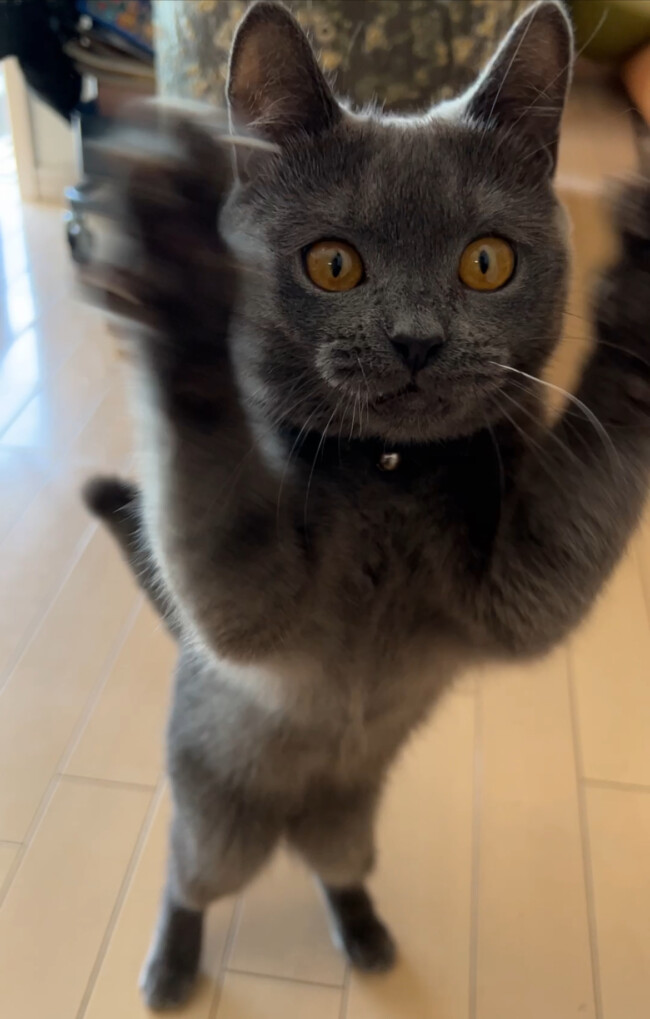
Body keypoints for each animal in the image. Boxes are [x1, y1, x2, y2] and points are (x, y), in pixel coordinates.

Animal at [83, 0, 650, 1010]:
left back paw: (369, 934)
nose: (418, 340)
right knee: (187, 881)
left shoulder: (521, 590)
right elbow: (212, 497)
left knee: (338, 870)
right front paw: (179, 270)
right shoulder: (249, 604)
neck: (391, 477)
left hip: (353, 820)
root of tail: (295, 819)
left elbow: (586, 491)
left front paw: (644, 298)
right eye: (334, 264)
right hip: (214, 813)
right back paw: (171, 967)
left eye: (486, 261)